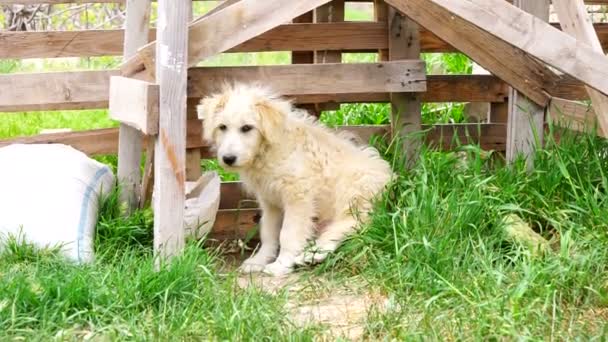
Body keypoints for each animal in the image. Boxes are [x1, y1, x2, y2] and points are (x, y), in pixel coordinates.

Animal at [197, 83, 392, 278]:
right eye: (222, 127)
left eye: (246, 128)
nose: (228, 158)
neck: (267, 152)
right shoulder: (269, 201)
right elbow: (268, 232)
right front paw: (259, 260)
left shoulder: (298, 197)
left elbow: (288, 234)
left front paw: (280, 264)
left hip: (354, 192)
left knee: (352, 223)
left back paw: (314, 254)